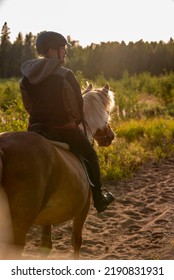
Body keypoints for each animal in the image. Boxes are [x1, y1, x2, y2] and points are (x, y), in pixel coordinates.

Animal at [0, 82, 115, 258]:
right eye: (107, 112)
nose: (111, 136)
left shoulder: (48, 218)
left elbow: (45, 246)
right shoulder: (83, 209)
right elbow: (76, 241)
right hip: (17, 228)